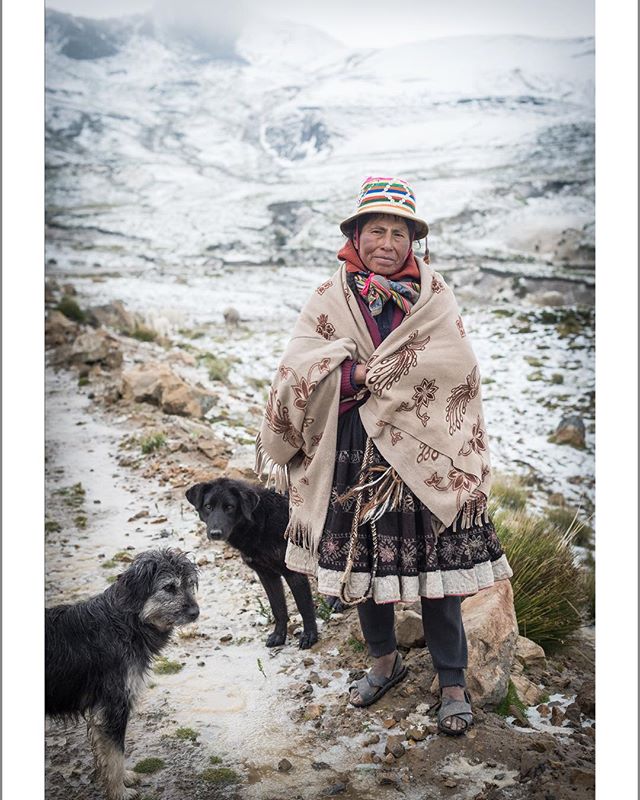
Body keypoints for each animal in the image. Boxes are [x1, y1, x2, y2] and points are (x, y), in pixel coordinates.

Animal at [45, 552, 199, 800]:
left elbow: (109, 755)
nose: (196, 613)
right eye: (169, 587)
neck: (124, 623)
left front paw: (122, 779)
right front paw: (120, 792)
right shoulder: (113, 706)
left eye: (189, 584)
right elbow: (116, 754)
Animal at [186, 478, 318, 648]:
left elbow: (304, 607)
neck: (262, 521)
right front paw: (278, 636)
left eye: (230, 507)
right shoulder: (266, 575)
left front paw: (310, 636)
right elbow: (278, 608)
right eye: (208, 506)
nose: (215, 534)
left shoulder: (294, 573)